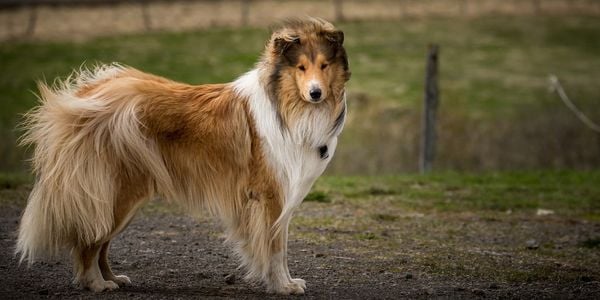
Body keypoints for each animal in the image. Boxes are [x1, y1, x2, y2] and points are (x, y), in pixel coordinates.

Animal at [16, 18, 350, 296]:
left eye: (324, 65)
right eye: (301, 68)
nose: (316, 93)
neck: (285, 106)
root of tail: (85, 94)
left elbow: (280, 246)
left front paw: (285, 282)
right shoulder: (270, 197)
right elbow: (275, 248)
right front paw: (283, 286)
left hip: (122, 198)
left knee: (101, 243)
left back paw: (113, 278)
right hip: (115, 194)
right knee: (89, 242)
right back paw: (97, 284)